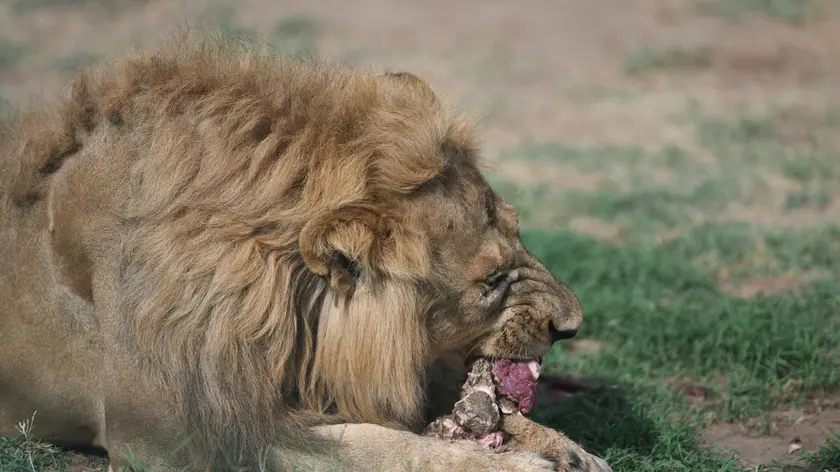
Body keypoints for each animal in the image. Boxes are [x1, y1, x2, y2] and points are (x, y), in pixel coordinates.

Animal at [0, 33, 608, 472]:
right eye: (491, 280)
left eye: (519, 231)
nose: (572, 327)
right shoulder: (179, 435)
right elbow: (379, 446)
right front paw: (515, 465)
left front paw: (564, 446)